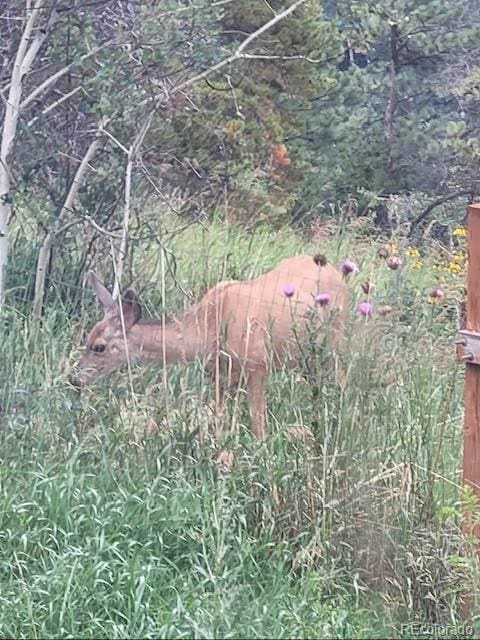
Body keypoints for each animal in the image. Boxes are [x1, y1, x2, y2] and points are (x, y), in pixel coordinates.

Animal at [70, 255, 348, 440]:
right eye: (86, 338)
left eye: (99, 347)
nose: (75, 379)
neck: (209, 329)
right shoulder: (217, 376)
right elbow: (219, 420)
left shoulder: (258, 365)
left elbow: (258, 424)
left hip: (336, 339)